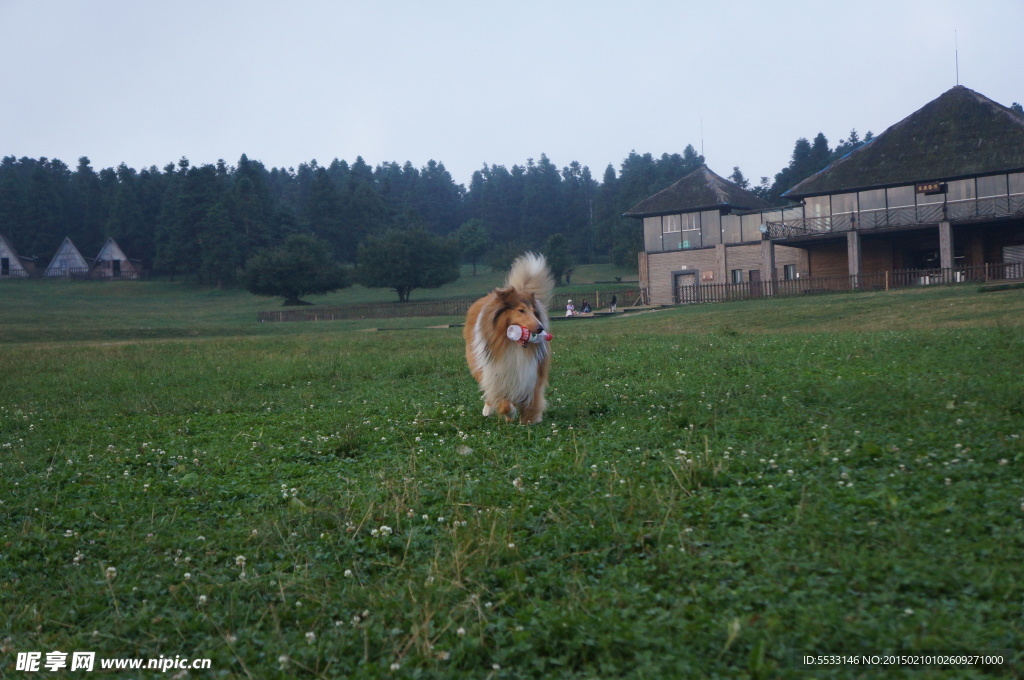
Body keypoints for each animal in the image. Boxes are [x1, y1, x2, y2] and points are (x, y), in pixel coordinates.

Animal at [466, 255, 557, 426]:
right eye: (521, 310)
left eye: (534, 312)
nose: (540, 328)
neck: (512, 344)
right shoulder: (496, 374)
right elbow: (502, 400)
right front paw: (510, 412)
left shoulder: (531, 373)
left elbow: (531, 400)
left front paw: (528, 420)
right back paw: (488, 410)